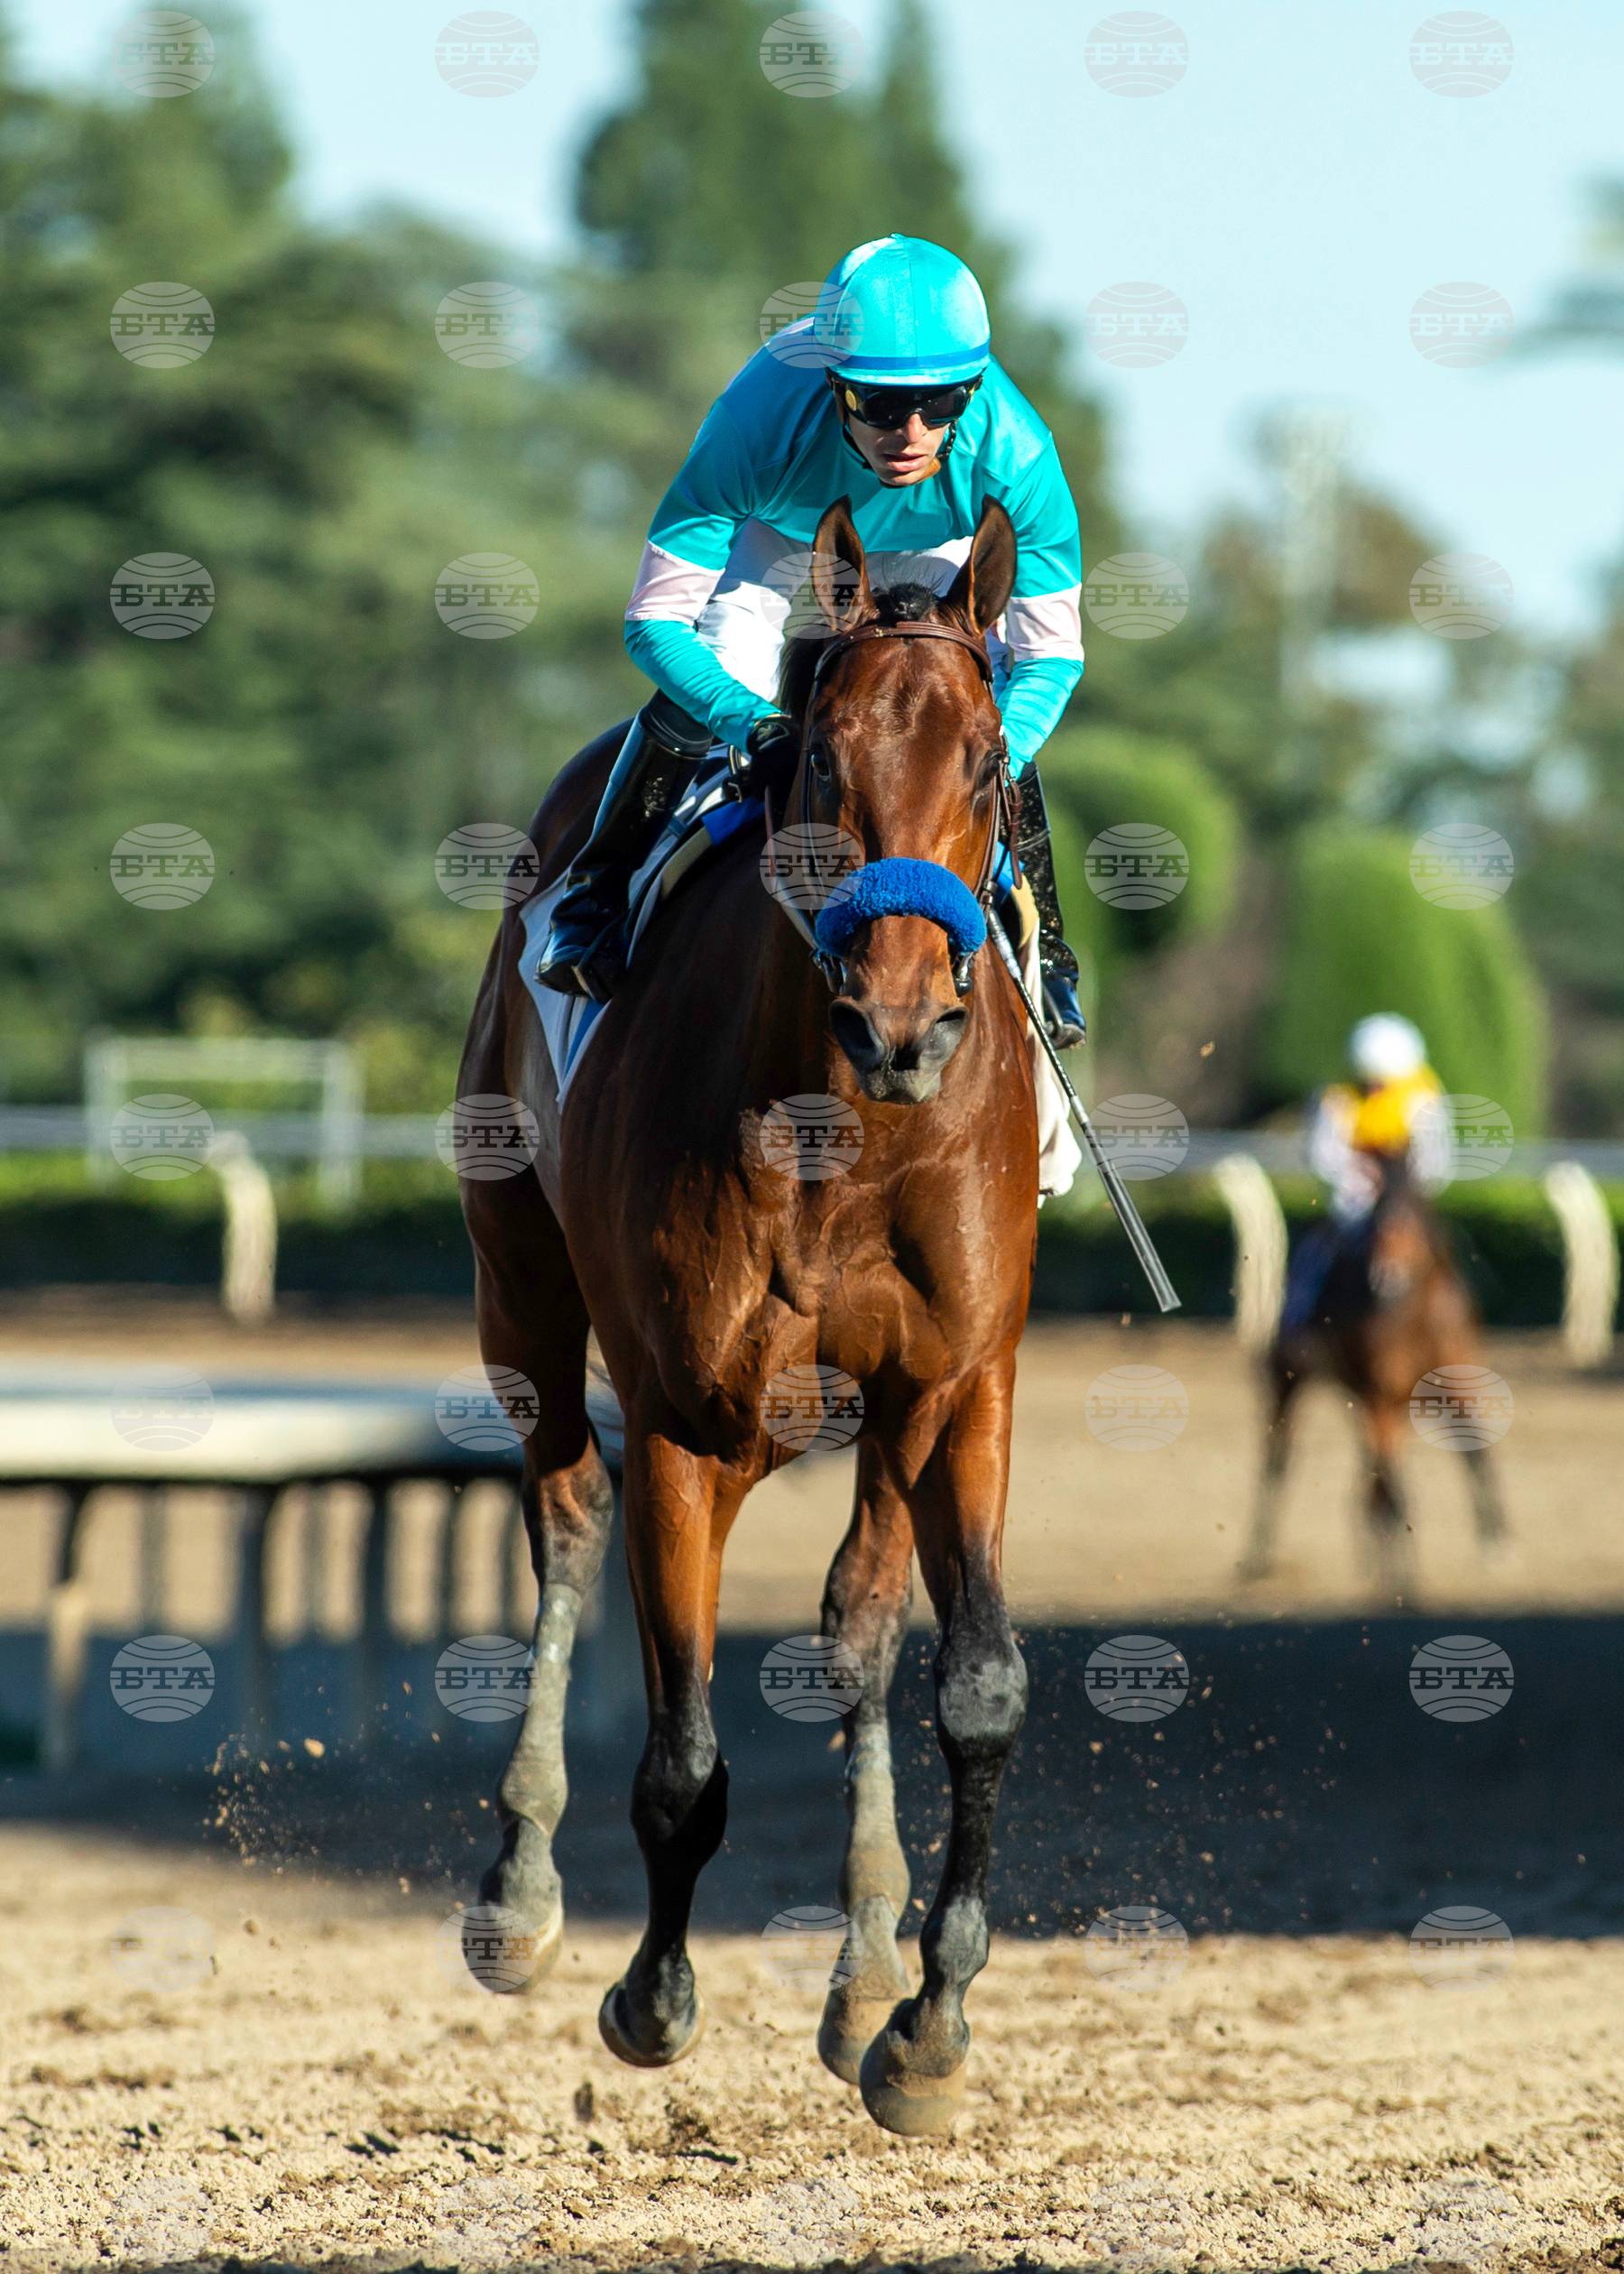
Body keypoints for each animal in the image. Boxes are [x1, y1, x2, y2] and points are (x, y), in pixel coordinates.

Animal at [455, 495, 1039, 2137]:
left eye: (989, 762)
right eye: (823, 760)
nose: (900, 1023)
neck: (849, 1122)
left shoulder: (949, 1385)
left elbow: (970, 1681)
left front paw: (926, 2025)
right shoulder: (688, 1417)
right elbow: (683, 1761)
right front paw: (652, 1998)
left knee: (861, 1621)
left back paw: (863, 1967)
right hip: (520, 1292)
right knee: (566, 1515)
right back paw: (519, 1891)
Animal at [1237, 1152, 1511, 1594]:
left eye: (1413, 1216)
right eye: (1379, 1218)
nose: (1388, 1278)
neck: (1413, 1315)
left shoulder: (1453, 1379)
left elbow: (1475, 1451)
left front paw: (1497, 1542)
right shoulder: (1379, 1392)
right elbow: (1393, 1480)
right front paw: (1403, 1577)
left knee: (1373, 1472)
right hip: (1291, 1378)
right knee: (1278, 1459)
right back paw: (1259, 1559)